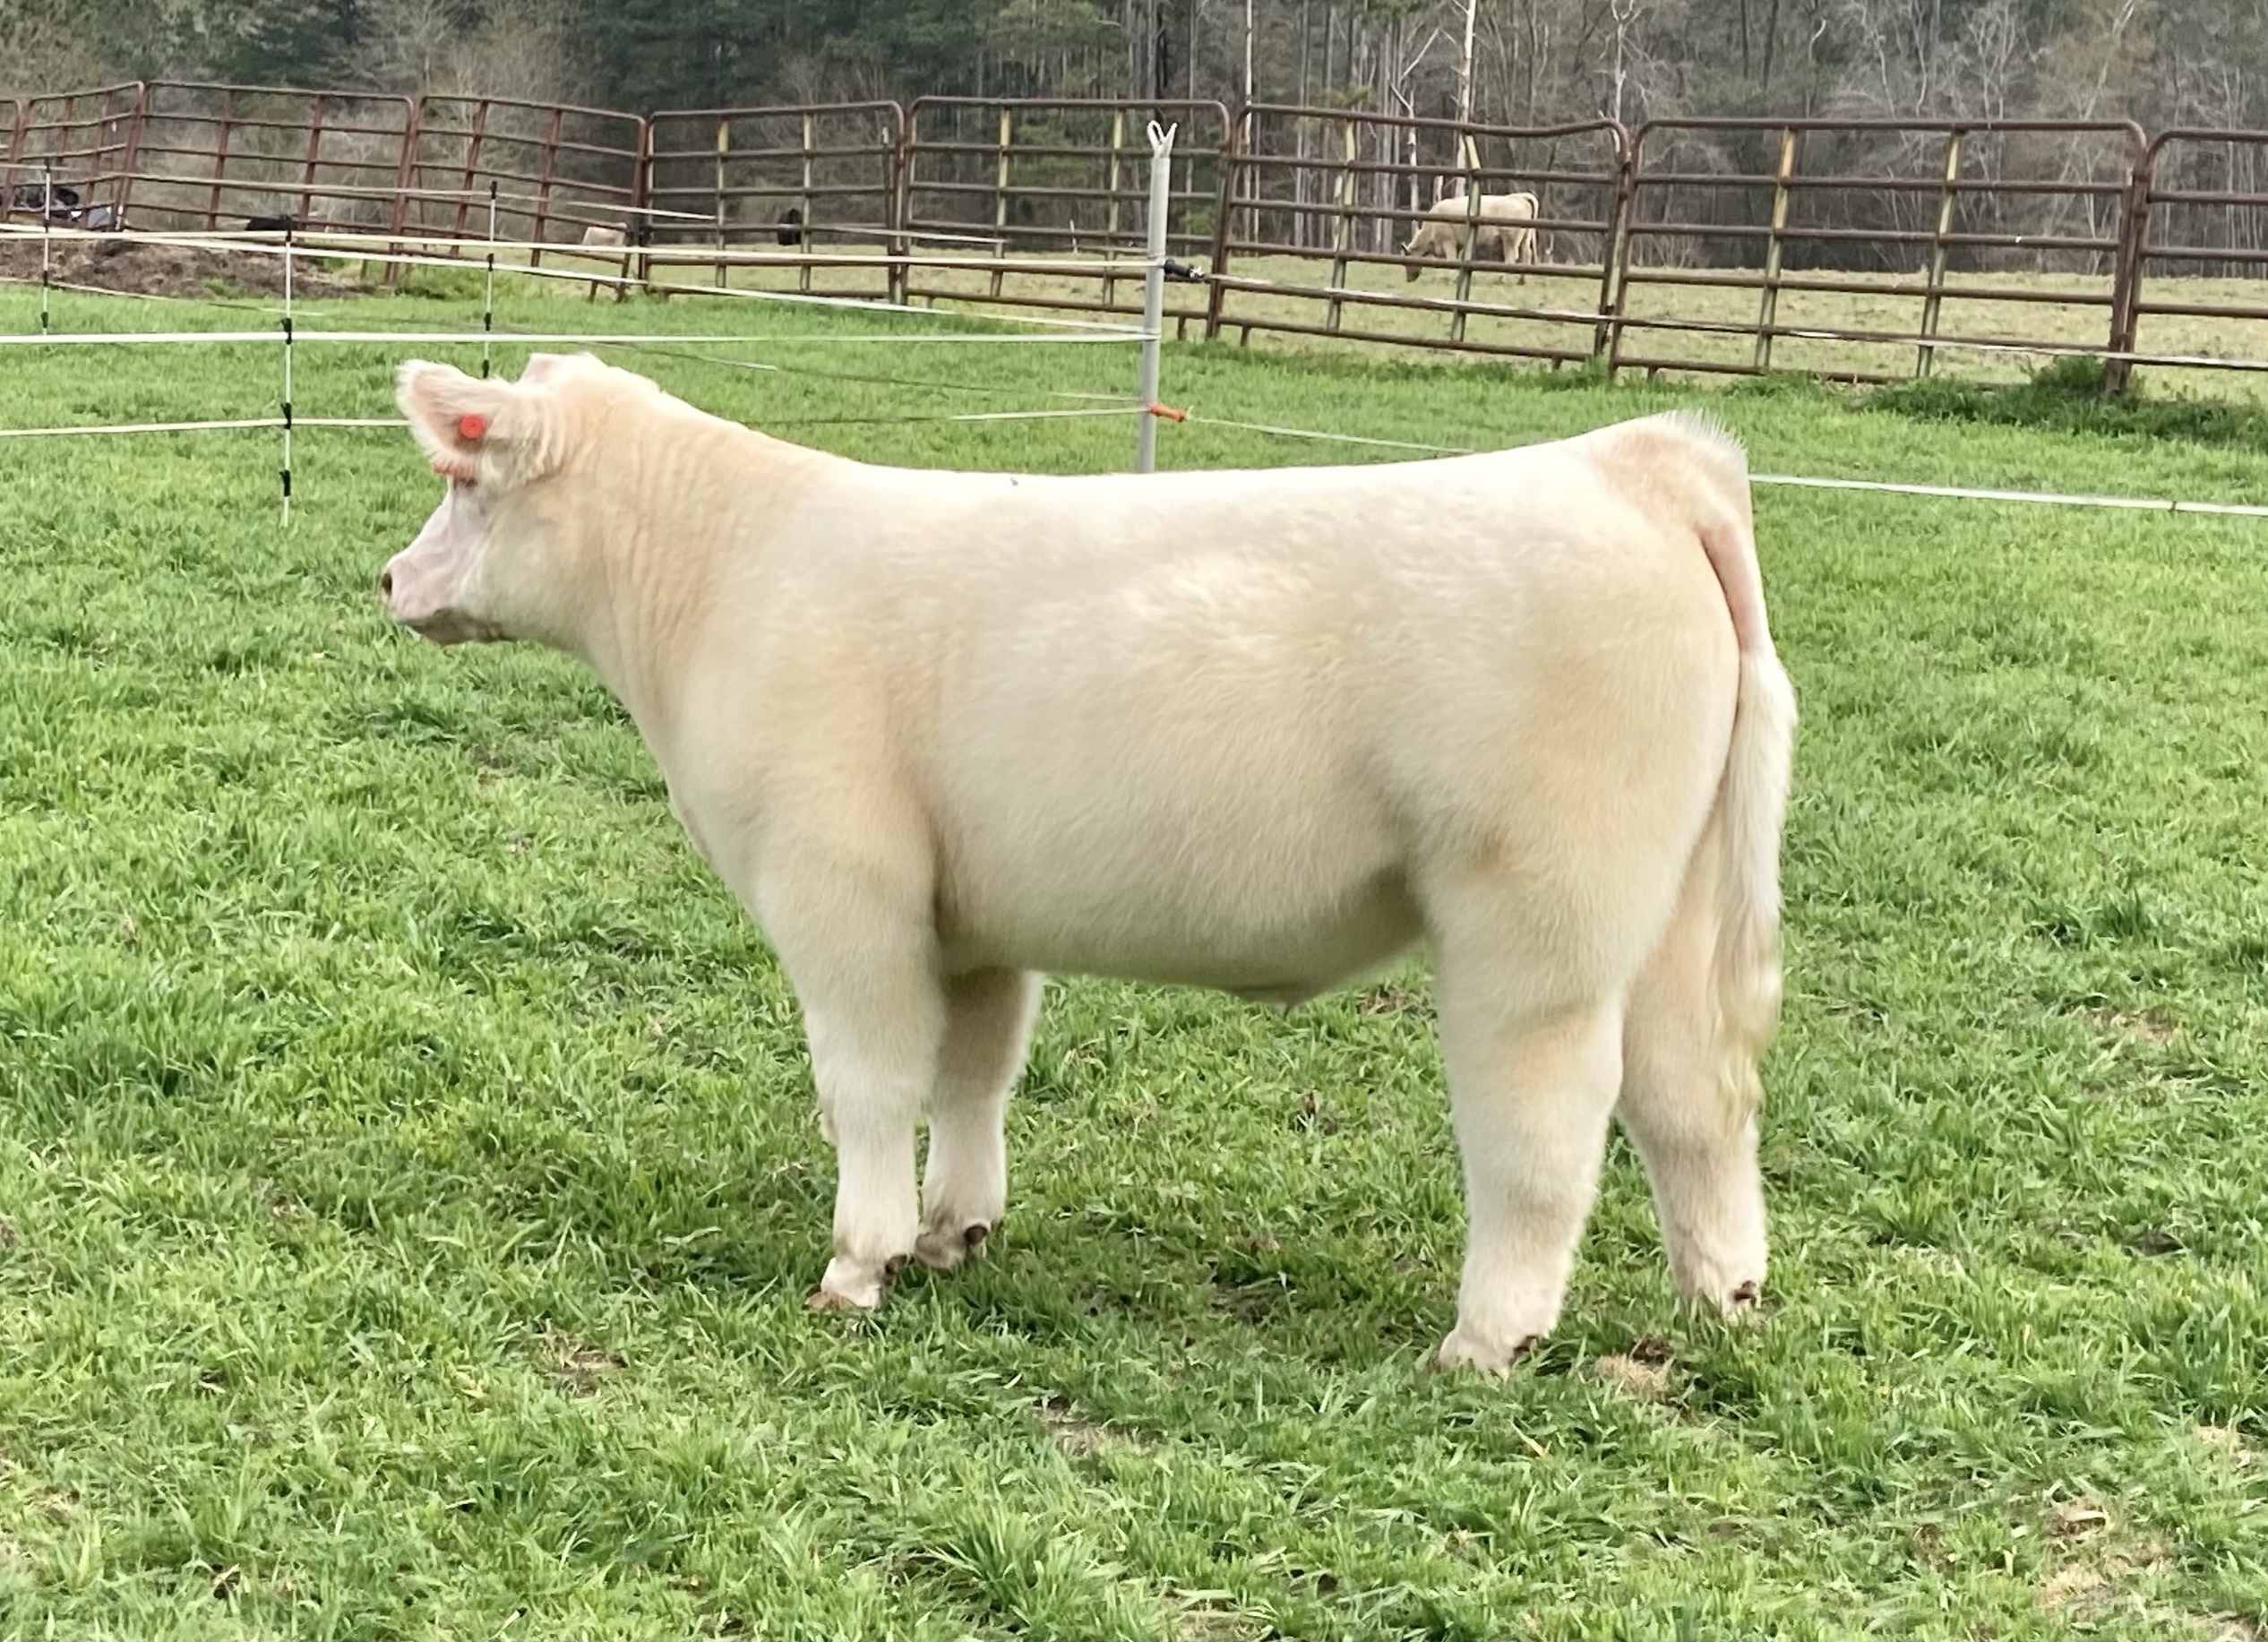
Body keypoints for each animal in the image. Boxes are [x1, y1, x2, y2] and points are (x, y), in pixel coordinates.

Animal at [378, 353, 1796, 1375]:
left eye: (462, 483)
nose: (390, 579)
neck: (726, 574)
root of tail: (1634, 460)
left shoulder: (839, 890)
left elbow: (867, 1080)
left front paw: (856, 1264)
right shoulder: (968, 918)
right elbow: (973, 1070)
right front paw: (954, 1231)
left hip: (1536, 921)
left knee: (1545, 1123)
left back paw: (1484, 1341)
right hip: (1668, 915)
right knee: (1693, 1097)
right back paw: (1723, 1301)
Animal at [1403, 191, 1539, 282]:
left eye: (1406, 263)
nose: (1408, 280)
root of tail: (1519, 196)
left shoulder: (1449, 242)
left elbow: (1452, 260)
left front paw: (1452, 279)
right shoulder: (1460, 245)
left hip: (1510, 239)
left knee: (1511, 258)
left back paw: (1502, 278)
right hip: (1525, 237)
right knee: (1527, 253)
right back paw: (1522, 280)